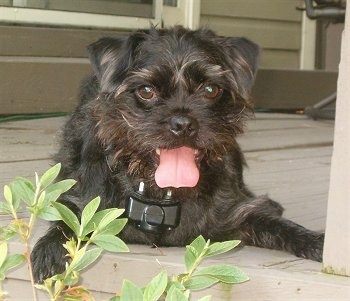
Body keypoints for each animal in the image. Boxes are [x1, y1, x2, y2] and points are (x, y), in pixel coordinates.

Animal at [31, 25, 324, 282]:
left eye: (211, 89)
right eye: (146, 91)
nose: (183, 123)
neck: (161, 196)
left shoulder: (239, 215)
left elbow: (279, 226)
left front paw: (318, 241)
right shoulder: (83, 201)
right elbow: (67, 220)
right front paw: (49, 249)